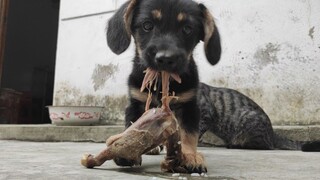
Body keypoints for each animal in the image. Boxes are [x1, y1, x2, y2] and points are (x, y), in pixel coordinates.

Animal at [106, 0, 221, 173]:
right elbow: (132, 127)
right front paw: (127, 150)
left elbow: (189, 135)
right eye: (147, 25)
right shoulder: (136, 103)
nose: (166, 59)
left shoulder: (189, 106)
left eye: (187, 29)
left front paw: (191, 156)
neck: (161, 80)